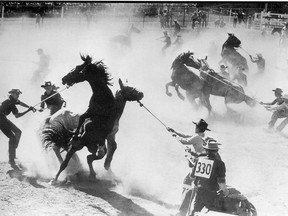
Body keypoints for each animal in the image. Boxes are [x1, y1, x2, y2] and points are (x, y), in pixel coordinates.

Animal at [51, 54, 143, 182]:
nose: (64, 79)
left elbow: (108, 149)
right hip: (79, 146)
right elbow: (82, 121)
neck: (103, 98)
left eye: (77, 67)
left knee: (87, 157)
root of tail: (52, 116)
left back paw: (89, 174)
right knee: (66, 159)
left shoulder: (106, 134)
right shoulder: (92, 117)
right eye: (129, 88)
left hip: (86, 146)